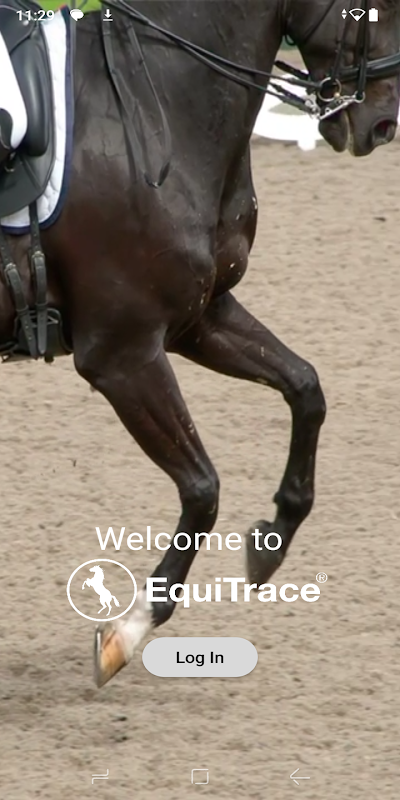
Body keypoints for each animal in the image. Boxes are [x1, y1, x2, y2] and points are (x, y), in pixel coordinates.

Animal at [1, 0, 400, 688]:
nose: (383, 123)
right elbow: (203, 488)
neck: (162, 93)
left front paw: (272, 539)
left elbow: (306, 388)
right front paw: (128, 630)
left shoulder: (199, 319)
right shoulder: (124, 354)